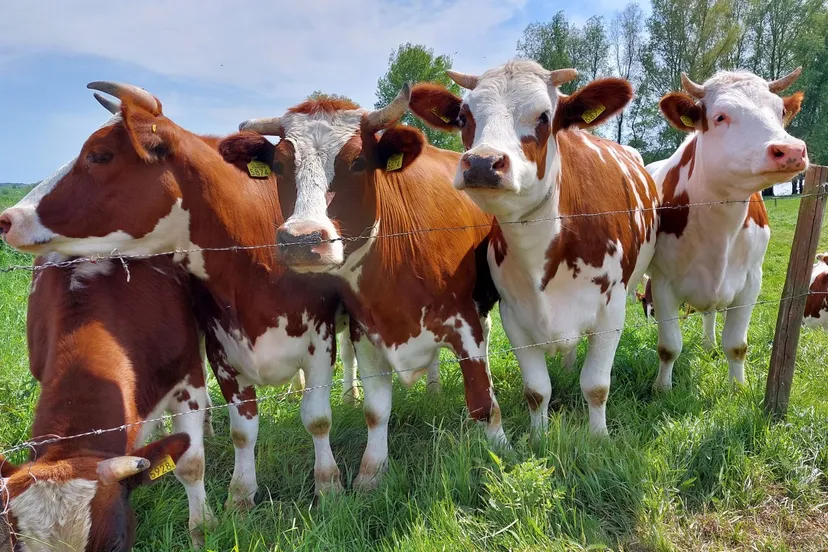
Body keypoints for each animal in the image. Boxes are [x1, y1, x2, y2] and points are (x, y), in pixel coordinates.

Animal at [0, 82, 351, 502]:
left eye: (99, 155)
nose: (7, 218)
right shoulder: (222, 352)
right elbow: (242, 431)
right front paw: (240, 494)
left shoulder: (321, 342)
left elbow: (317, 418)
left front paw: (329, 485)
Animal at [219, 88, 506, 490]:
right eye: (279, 166)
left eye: (357, 162)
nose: (302, 239)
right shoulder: (366, 332)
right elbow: (376, 410)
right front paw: (371, 472)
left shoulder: (464, 321)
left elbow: (481, 399)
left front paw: (500, 450)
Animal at [407, 60, 659, 436]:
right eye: (464, 117)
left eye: (543, 116)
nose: (481, 163)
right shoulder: (515, 316)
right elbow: (537, 390)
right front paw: (538, 436)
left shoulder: (611, 311)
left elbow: (596, 386)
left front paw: (599, 437)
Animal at [643, 68, 807, 391]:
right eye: (720, 116)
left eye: (780, 111)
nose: (791, 150)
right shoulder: (661, 281)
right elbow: (669, 346)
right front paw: (662, 388)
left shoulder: (751, 280)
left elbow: (736, 345)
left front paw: (738, 387)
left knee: (710, 315)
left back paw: (709, 345)